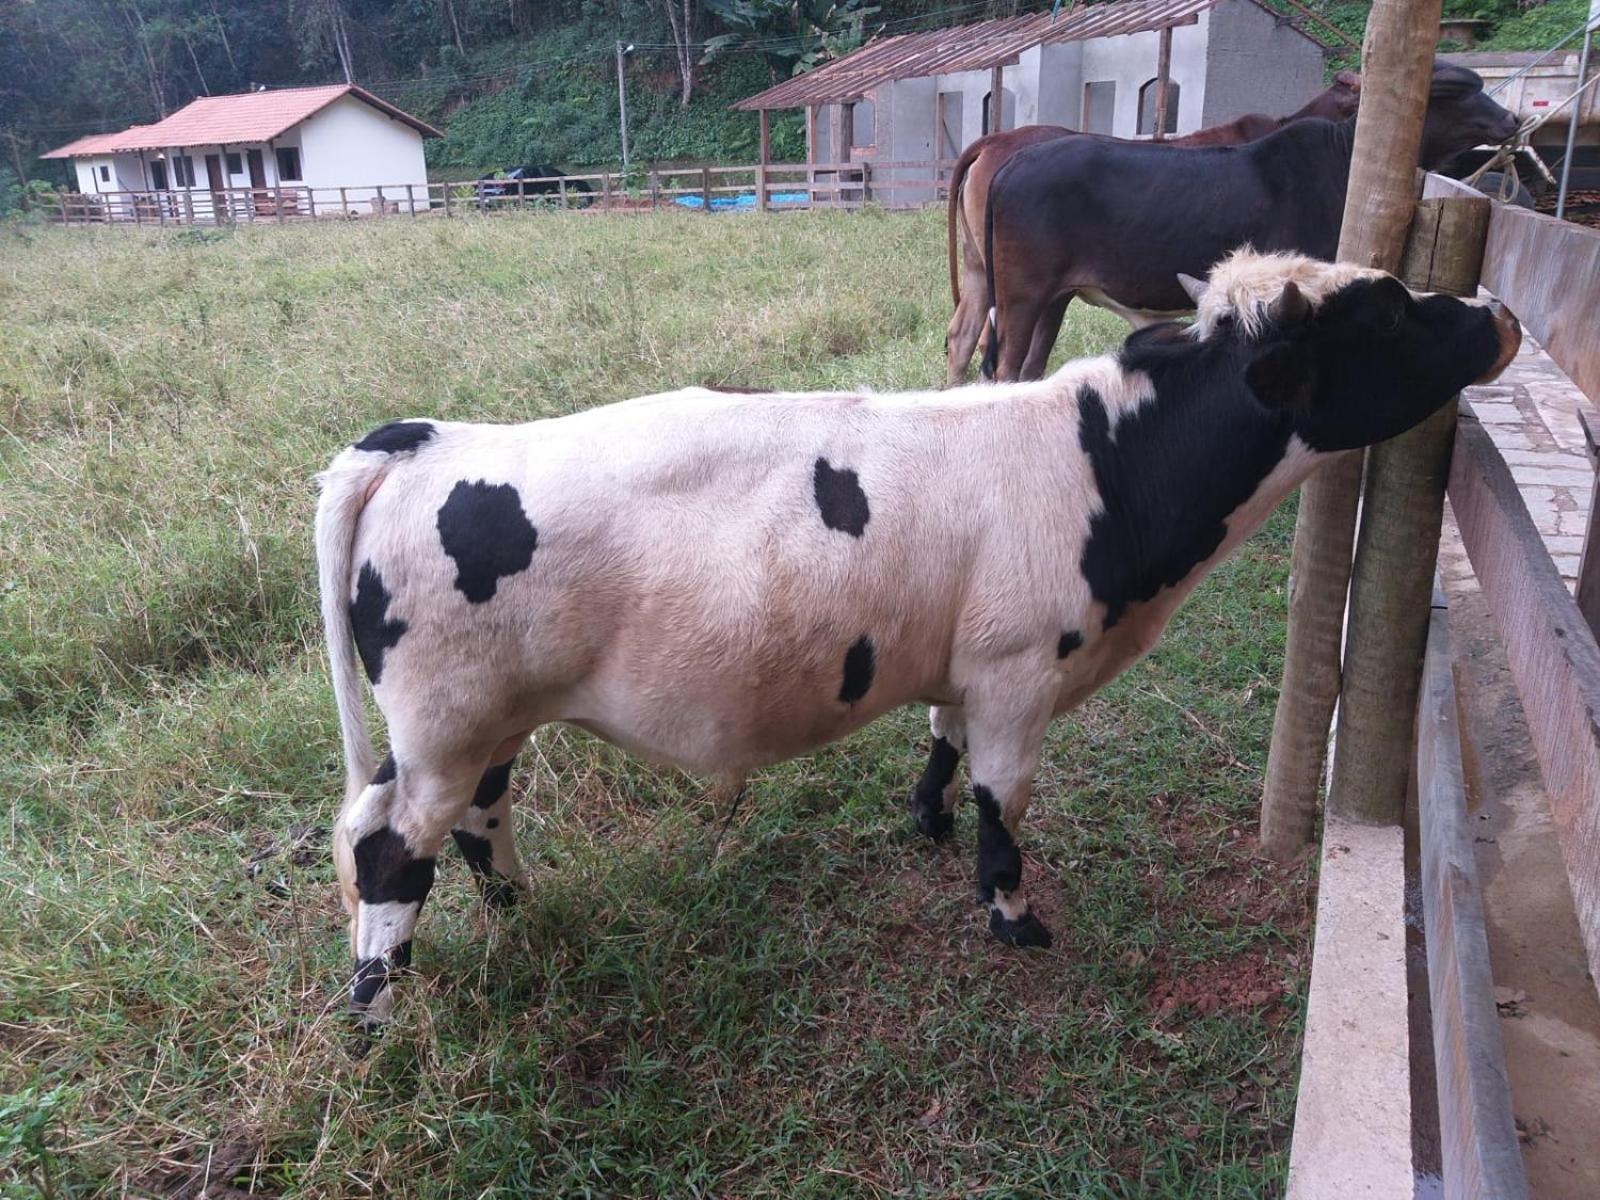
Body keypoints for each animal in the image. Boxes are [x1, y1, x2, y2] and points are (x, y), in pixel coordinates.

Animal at [315, 249, 1523, 1017]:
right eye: (1385, 312)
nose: (1496, 313)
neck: (1104, 468)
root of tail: (423, 439)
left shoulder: (964, 660)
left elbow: (941, 744)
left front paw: (927, 823)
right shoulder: (1020, 672)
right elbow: (1006, 798)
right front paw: (1011, 913)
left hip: (488, 722)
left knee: (479, 819)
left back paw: (520, 914)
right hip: (444, 725)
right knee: (387, 844)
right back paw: (378, 1001)